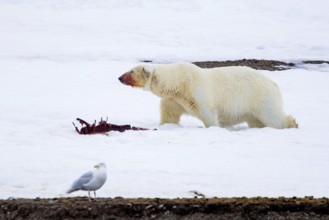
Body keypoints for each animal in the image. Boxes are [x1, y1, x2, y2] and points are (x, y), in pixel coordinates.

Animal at [118, 61, 298, 129]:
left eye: (131, 71)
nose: (119, 77)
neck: (178, 82)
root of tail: (274, 84)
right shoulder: (174, 99)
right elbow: (169, 114)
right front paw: (165, 125)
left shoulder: (197, 91)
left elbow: (208, 112)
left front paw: (214, 128)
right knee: (256, 120)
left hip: (259, 96)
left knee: (272, 115)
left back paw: (292, 124)